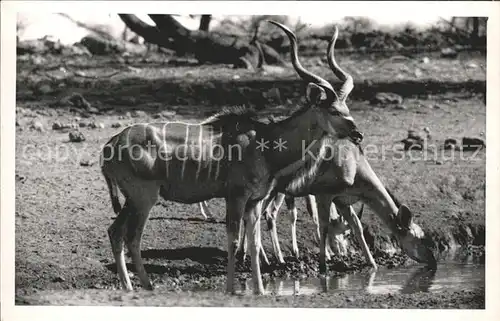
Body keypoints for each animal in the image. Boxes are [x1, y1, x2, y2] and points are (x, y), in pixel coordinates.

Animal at [100, 20, 434, 296]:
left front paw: (259, 290)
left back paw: (134, 286)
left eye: (347, 108)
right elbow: (236, 239)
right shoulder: (237, 197)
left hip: (134, 199)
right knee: (131, 236)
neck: (265, 143)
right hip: (144, 197)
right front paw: (232, 290)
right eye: (332, 110)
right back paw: (141, 286)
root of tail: (109, 146)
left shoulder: (255, 201)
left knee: (116, 232)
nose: (358, 135)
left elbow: (254, 239)